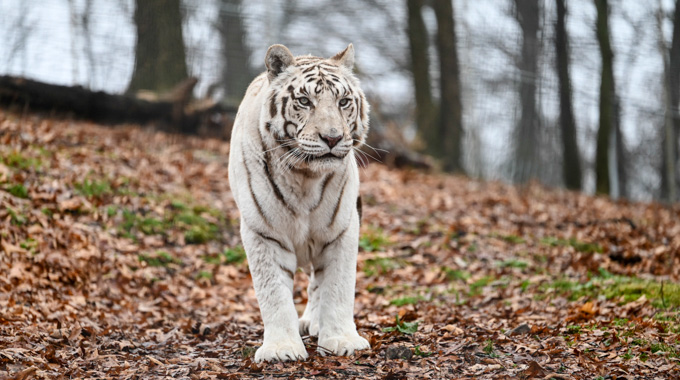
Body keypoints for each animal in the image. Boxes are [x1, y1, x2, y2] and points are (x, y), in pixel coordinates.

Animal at [231, 44, 372, 362]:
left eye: (344, 101)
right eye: (305, 101)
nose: (332, 138)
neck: (305, 176)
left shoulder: (342, 229)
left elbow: (338, 286)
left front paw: (342, 340)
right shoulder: (263, 232)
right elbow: (273, 292)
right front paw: (281, 348)